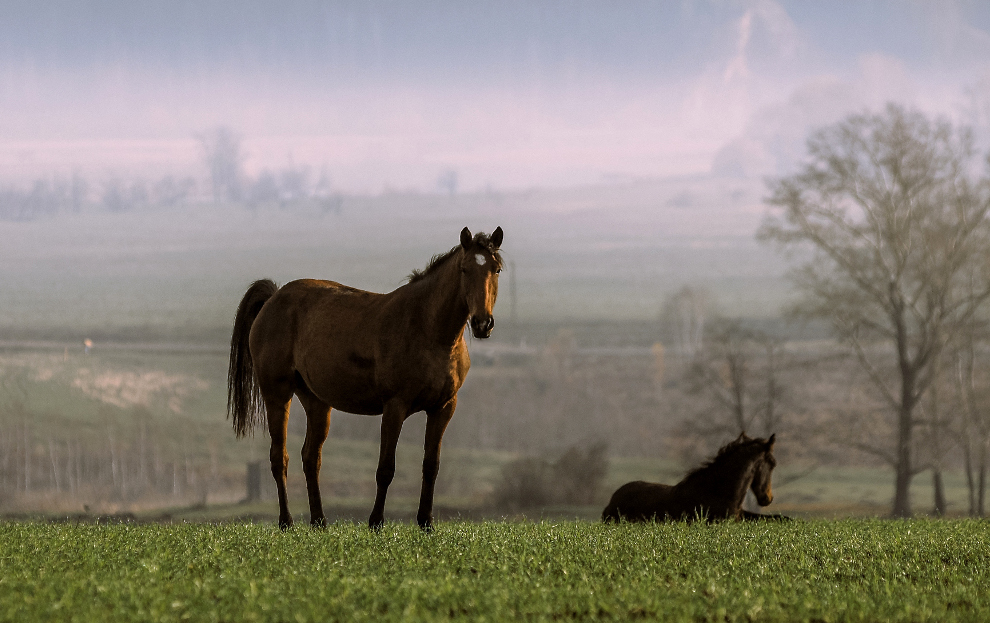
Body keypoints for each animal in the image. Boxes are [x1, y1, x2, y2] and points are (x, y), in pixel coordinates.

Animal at [227, 227, 504, 528]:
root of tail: (274, 298)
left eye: (497, 269)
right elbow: (386, 468)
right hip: (277, 394)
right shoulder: (395, 407)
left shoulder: (443, 408)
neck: (427, 328)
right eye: (465, 269)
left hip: (316, 401)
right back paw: (287, 522)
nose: (482, 323)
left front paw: (426, 522)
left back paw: (319, 521)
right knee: (280, 458)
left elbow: (431, 465)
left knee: (311, 458)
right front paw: (376, 522)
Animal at [600, 434, 788, 520]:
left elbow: (780, 518)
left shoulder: (741, 515)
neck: (717, 491)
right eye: (773, 463)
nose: (768, 498)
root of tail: (611, 502)